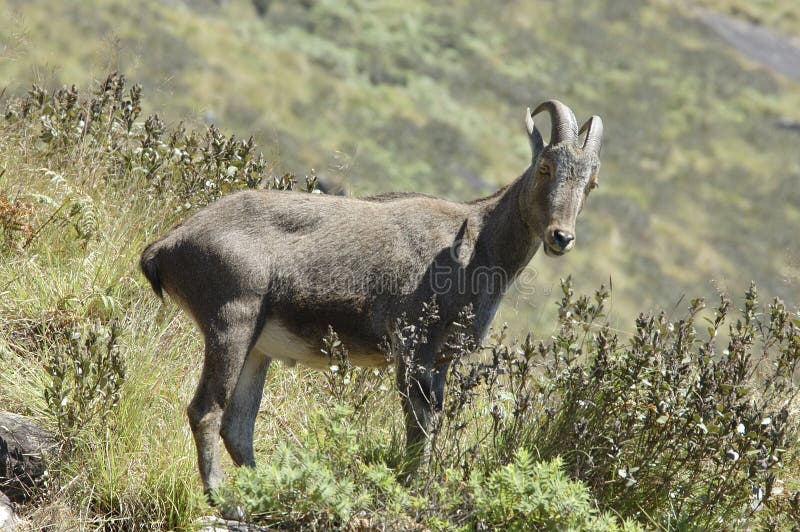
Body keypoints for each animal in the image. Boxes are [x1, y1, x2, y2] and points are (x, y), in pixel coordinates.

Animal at [139, 100, 600, 494]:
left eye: (591, 183)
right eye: (545, 167)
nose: (561, 237)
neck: (477, 244)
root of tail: (166, 246)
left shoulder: (440, 361)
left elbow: (430, 426)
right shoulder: (414, 348)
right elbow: (419, 430)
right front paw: (412, 489)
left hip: (258, 347)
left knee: (238, 426)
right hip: (232, 323)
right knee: (206, 411)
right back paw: (224, 497)